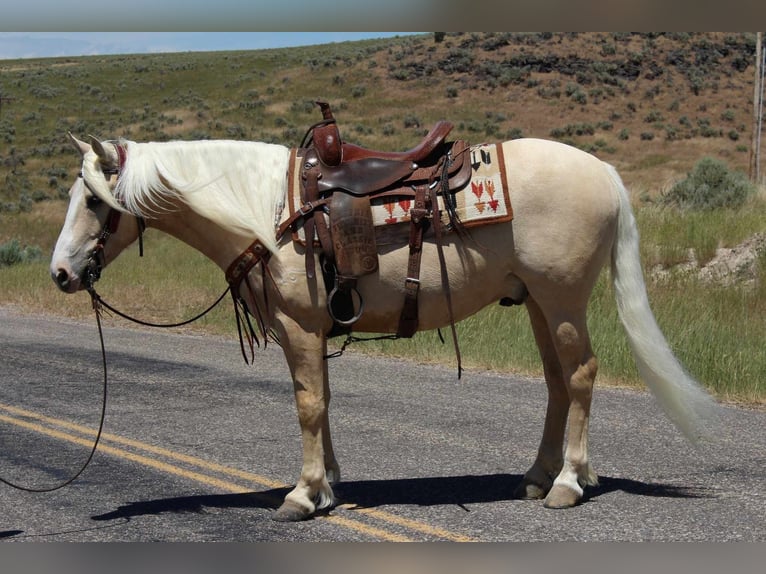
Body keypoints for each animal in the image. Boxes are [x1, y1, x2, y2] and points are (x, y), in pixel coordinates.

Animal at [49, 133, 720, 524]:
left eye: (93, 199)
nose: (59, 272)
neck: (268, 211)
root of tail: (604, 172)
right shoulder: (310, 331)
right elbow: (321, 401)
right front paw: (328, 486)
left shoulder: (299, 326)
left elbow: (308, 405)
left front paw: (303, 494)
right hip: (538, 302)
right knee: (559, 383)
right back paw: (540, 477)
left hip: (562, 300)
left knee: (580, 377)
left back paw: (568, 484)